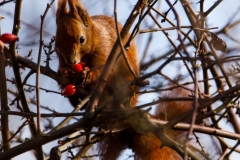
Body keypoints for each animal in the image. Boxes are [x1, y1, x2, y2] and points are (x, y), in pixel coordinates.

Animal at [55, 0, 192, 159]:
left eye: (81, 39)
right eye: (56, 43)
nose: (71, 61)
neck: (95, 36)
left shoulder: (106, 52)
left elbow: (100, 71)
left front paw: (86, 74)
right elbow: (63, 70)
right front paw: (65, 74)